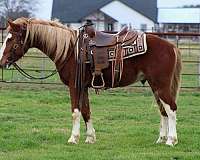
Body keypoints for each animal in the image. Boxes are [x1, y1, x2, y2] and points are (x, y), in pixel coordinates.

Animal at [0, 17, 181, 146]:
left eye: (11, 39)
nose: (2, 61)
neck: (70, 50)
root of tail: (171, 46)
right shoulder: (83, 87)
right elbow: (86, 111)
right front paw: (90, 138)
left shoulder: (74, 86)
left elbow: (75, 112)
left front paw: (73, 138)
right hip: (155, 86)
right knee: (163, 111)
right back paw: (161, 139)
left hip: (161, 85)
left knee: (171, 109)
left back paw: (171, 140)